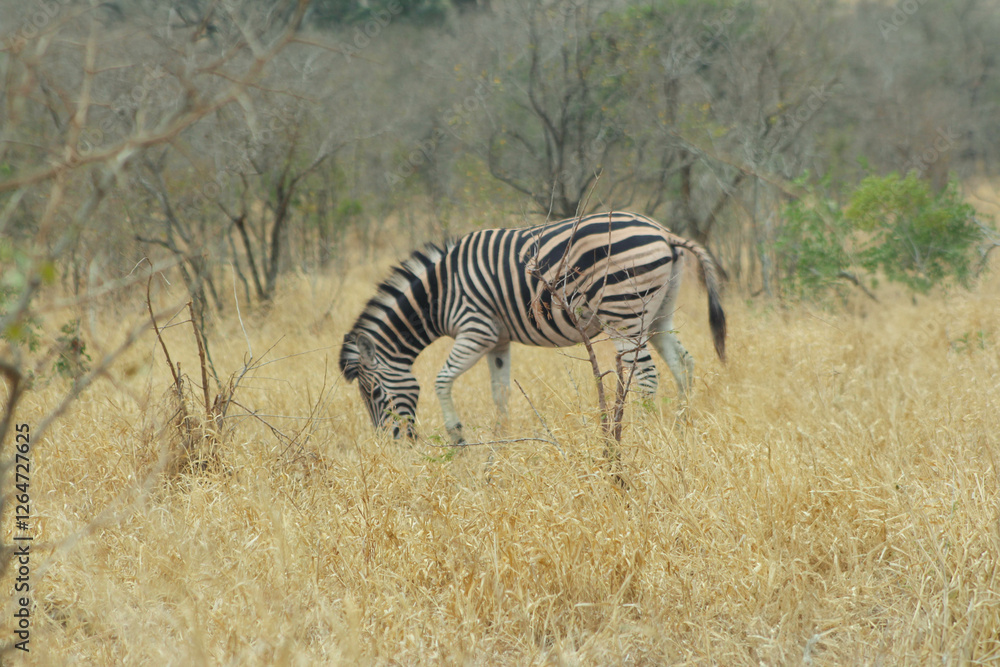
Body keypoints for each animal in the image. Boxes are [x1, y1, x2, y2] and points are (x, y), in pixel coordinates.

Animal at [340, 211, 726, 444]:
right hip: (658, 315)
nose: (393, 445)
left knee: (646, 376)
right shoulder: (498, 341)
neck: (439, 293)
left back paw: (640, 435)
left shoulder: (476, 329)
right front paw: (501, 438)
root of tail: (665, 233)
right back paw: (680, 425)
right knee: (683, 363)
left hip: (624, 315)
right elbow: (500, 392)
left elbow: (441, 379)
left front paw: (458, 437)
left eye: (374, 394)